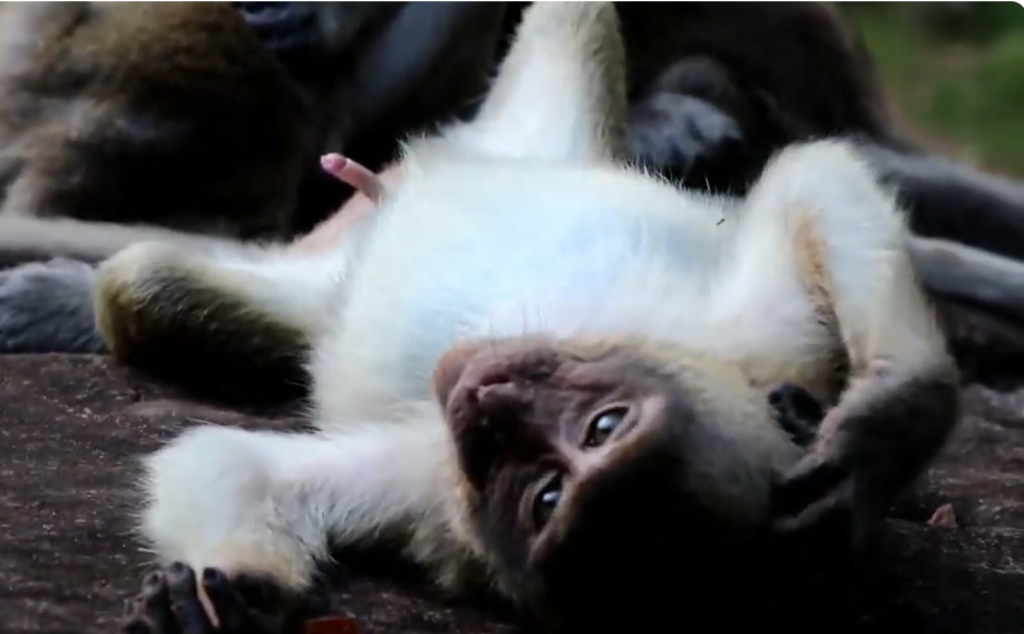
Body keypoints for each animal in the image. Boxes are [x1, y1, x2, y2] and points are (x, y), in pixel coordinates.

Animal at [102, 3, 960, 632]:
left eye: (546, 494)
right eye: (608, 424)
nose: (491, 394)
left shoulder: (436, 489)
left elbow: (234, 464)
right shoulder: (764, 338)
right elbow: (815, 184)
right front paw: (890, 420)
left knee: (139, 291)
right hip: (541, 142)